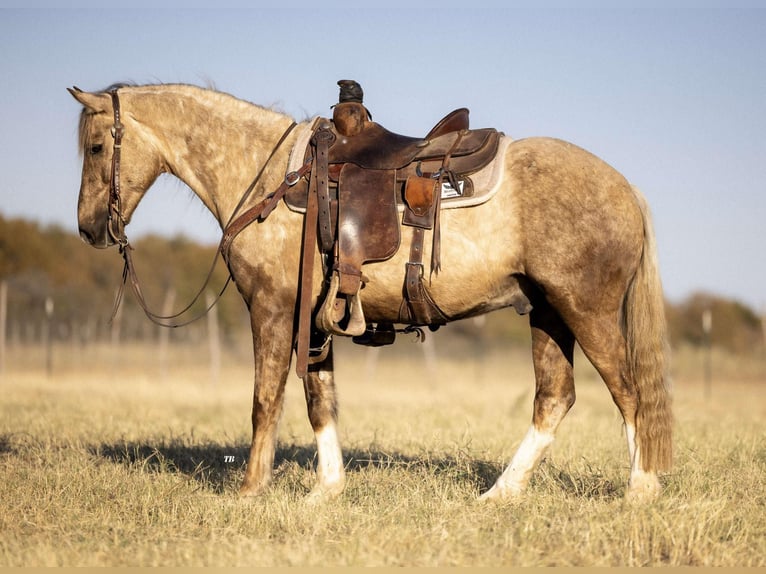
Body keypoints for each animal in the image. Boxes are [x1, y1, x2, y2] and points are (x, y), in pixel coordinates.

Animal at [70, 82, 672, 504]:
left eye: (97, 145)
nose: (89, 228)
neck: (268, 178)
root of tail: (627, 188)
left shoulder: (271, 309)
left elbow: (266, 401)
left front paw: (250, 490)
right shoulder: (312, 320)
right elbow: (319, 399)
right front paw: (326, 489)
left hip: (586, 311)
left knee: (629, 393)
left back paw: (640, 490)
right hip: (548, 313)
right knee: (555, 399)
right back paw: (500, 493)